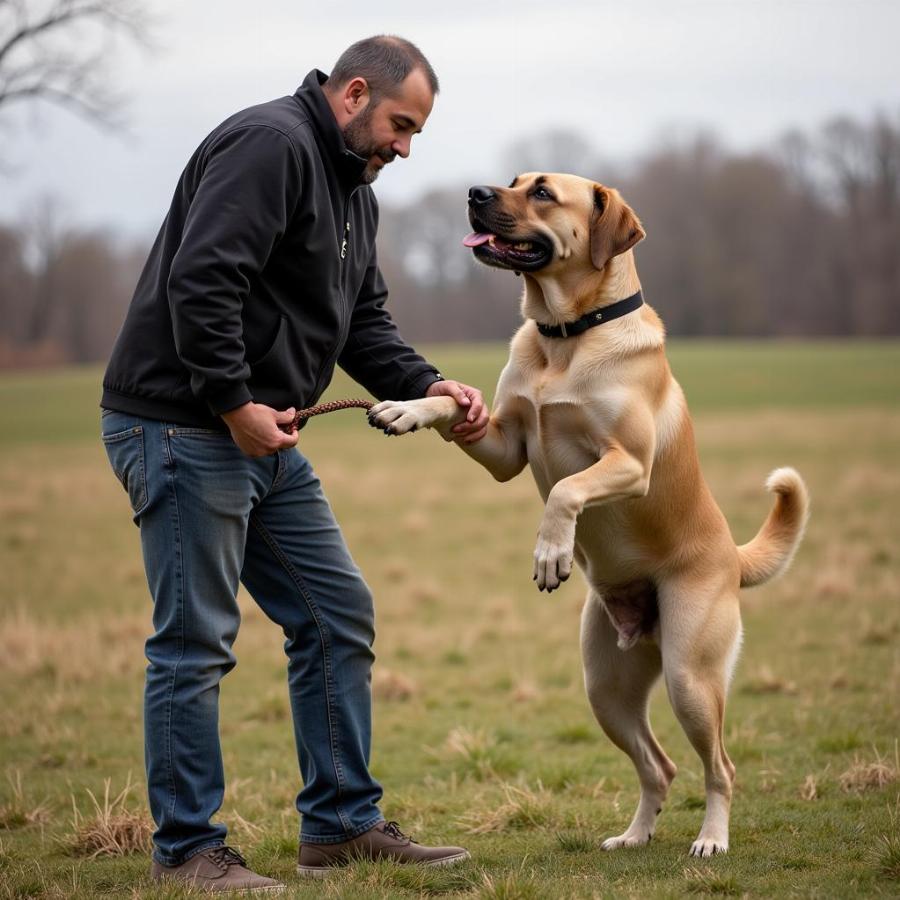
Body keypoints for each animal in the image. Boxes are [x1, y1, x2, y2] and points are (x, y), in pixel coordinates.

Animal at [368, 172, 808, 856]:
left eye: (543, 193)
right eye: (514, 181)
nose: (474, 192)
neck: (565, 335)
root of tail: (733, 557)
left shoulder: (628, 462)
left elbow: (567, 490)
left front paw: (551, 550)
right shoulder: (504, 444)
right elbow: (456, 409)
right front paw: (407, 408)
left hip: (690, 677)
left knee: (720, 767)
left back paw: (711, 838)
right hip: (607, 689)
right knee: (660, 765)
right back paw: (635, 836)